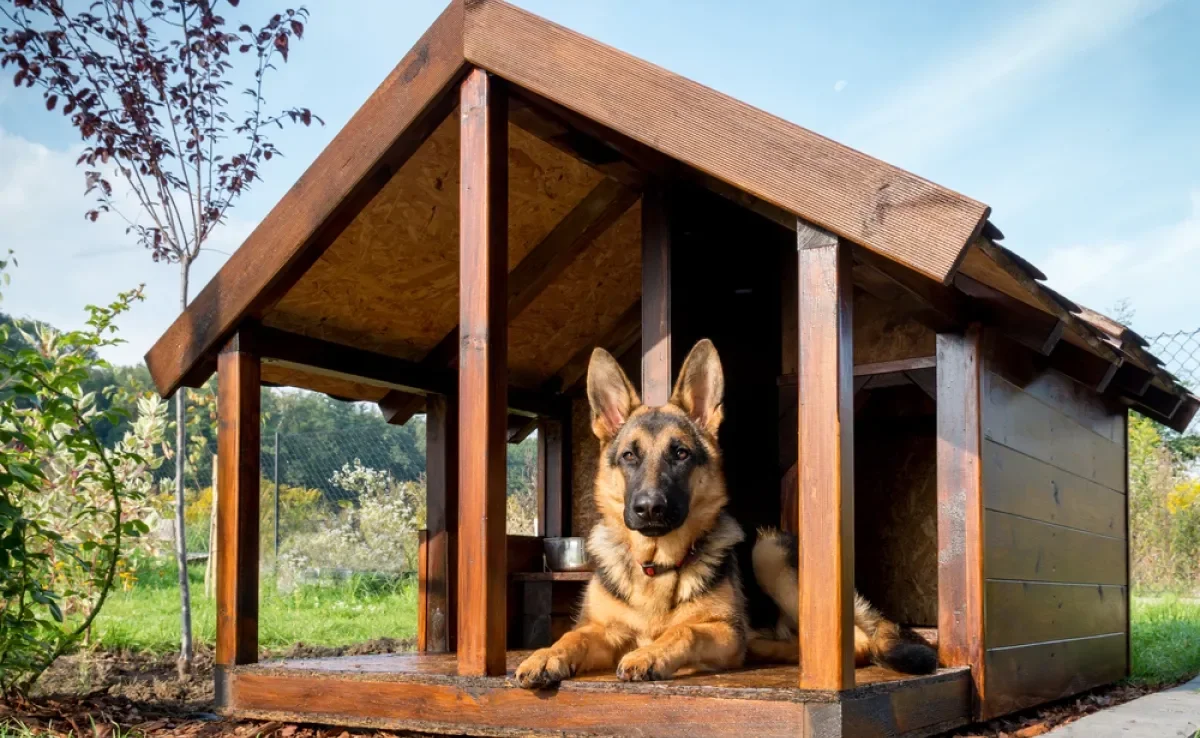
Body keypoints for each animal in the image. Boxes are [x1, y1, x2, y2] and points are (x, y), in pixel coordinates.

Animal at [511, 338, 931, 691]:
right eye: (629, 455)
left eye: (680, 453)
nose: (649, 508)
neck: (657, 567)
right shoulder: (604, 629)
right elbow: (572, 636)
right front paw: (545, 655)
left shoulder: (722, 631)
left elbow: (685, 631)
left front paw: (651, 653)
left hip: (768, 553)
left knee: (856, 642)